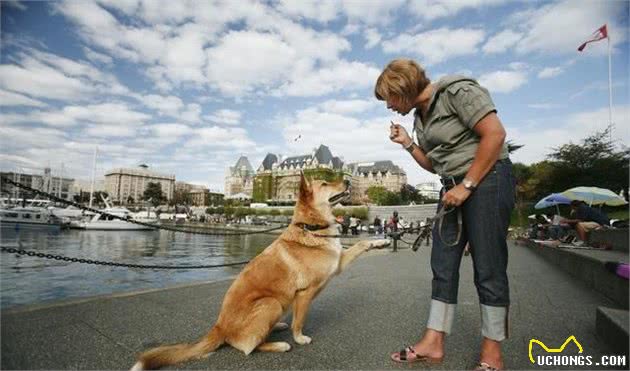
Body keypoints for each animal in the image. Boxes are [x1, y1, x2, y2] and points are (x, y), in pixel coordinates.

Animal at [132, 175, 390, 371]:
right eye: (325, 183)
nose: (347, 180)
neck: (311, 228)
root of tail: (219, 328)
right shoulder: (304, 293)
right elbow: (299, 322)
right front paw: (300, 338)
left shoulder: (337, 263)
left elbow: (360, 244)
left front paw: (381, 242)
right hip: (271, 302)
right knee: (248, 347)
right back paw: (279, 345)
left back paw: (277, 328)